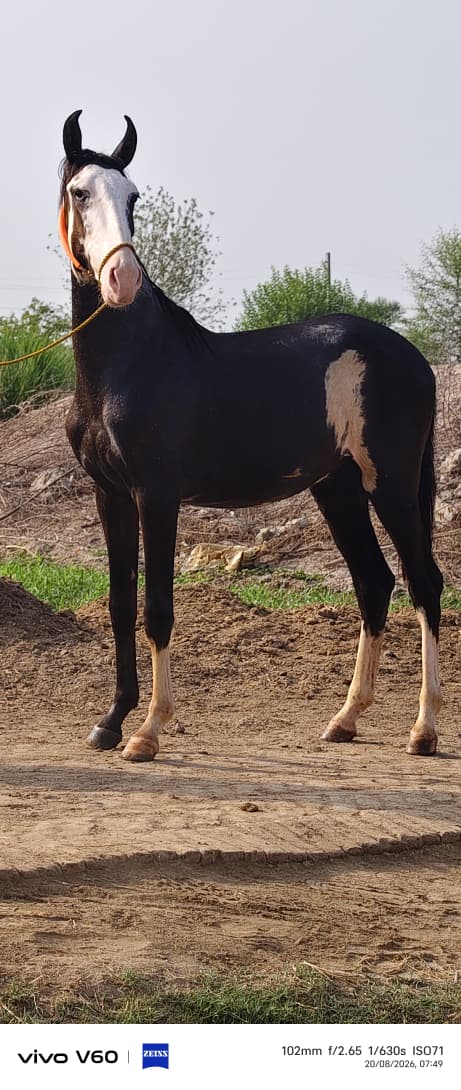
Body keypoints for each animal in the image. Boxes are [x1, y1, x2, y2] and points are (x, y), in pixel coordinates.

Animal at [58, 110, 443, 762]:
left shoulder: (156, 497)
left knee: (425, 584)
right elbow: (118, 603)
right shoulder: (109, 496)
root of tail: (415, 359)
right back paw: (345, 719)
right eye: (79, 192)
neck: (126, 365)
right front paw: (110, 722)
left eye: (133, 197)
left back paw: (424, 728)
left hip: (388, 483)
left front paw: (148, 731)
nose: (122, 278)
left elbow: (156, 608)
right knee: (374, 582)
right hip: (337, 488)